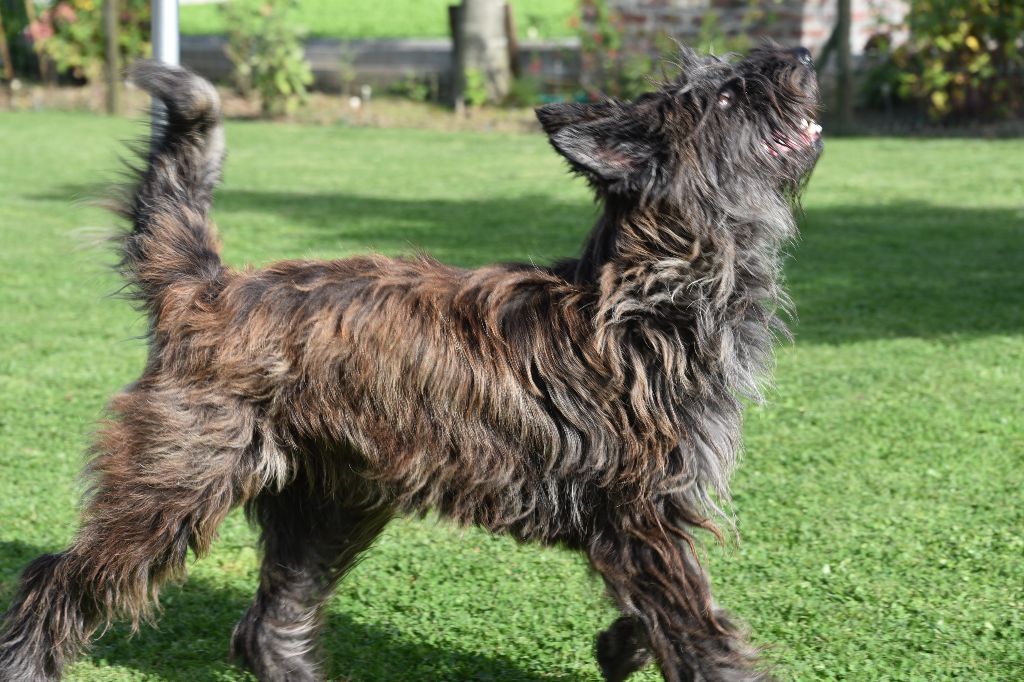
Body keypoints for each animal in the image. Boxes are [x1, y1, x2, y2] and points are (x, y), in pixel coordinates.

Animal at [0, 45, 819, 675]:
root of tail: (205, 289)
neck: (658, 291)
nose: (803, 58)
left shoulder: (638, 525)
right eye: (724, 96)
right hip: (172, 486)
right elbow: (698, 630)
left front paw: (620, 646)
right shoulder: (640, 515)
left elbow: (660, 616)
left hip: (328, 508)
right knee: (54, 579)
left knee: (268, 626)